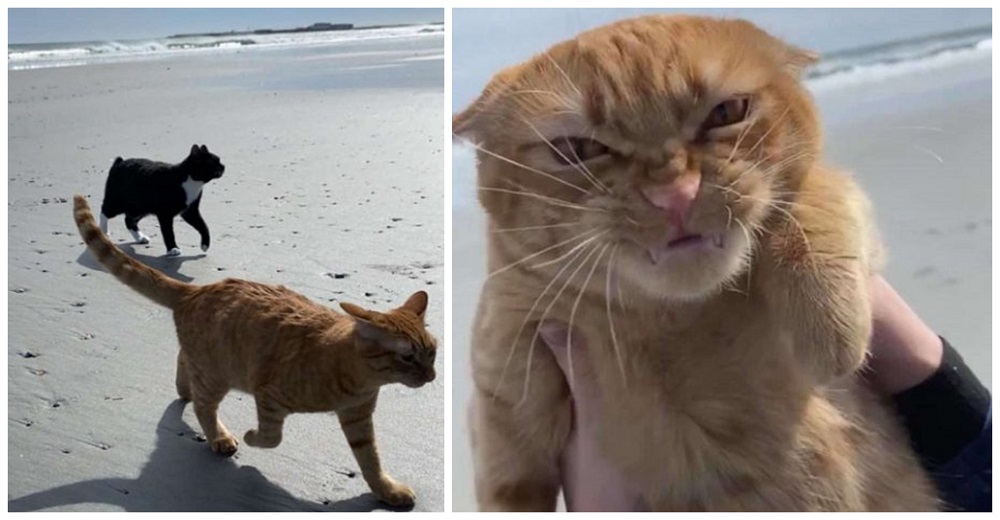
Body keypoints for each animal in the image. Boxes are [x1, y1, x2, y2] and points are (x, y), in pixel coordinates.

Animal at [71, 193, 438, 506]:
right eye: (408, 357)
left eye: (433, 351)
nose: (432, 376)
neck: (357, 377)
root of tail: (197, 289)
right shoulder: (269, 395)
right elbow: (272, 436)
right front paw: (251, 436)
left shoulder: (358, 417)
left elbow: (370, 460)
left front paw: (387, 491)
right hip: (217, 376)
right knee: (204, 406)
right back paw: (219, 436)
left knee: (184, 363)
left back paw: (183, 388)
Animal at [454, 15, 936, 512]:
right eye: (579, 150)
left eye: (727, 113)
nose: (675, 194)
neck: (674, 321)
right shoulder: (504, 353)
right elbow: (506, 444)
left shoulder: (823, 190)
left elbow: (813, 196)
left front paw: (831, 327)